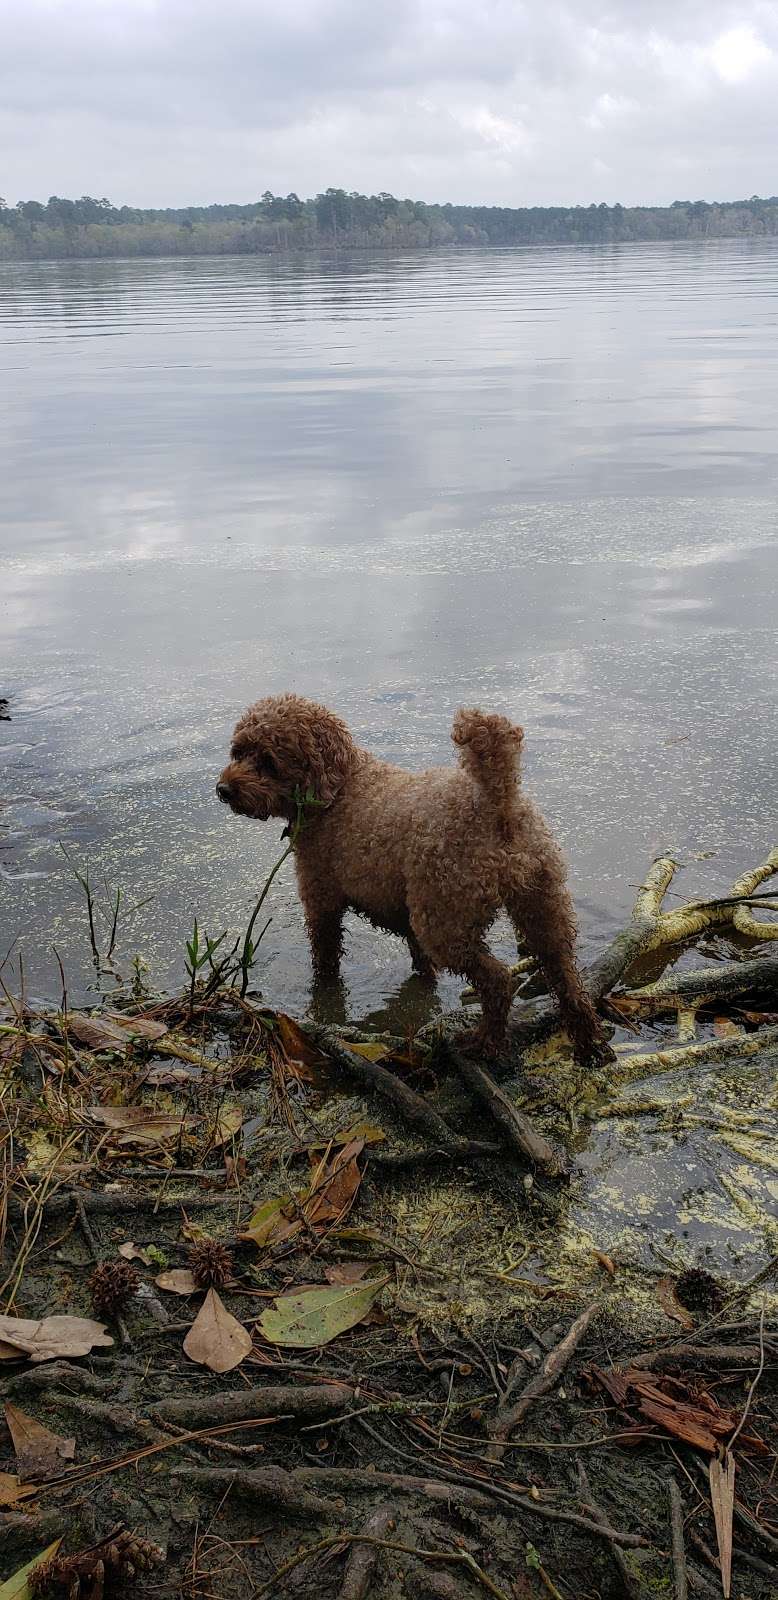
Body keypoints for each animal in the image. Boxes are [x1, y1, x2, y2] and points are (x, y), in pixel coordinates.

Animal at [216, 697, 605, 1062]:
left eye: (268, 761)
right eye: (238, 751)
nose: (223, 789)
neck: (341, 787)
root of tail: (498, 801)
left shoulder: (322, 899)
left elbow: (325, 961)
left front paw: (325, 999)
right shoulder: (407, 910)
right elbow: (421, 964)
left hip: (445, 920)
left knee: (498, 980)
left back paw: (487, 1043)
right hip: (541, 902)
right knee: (566, 976)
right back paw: (589, 1044)